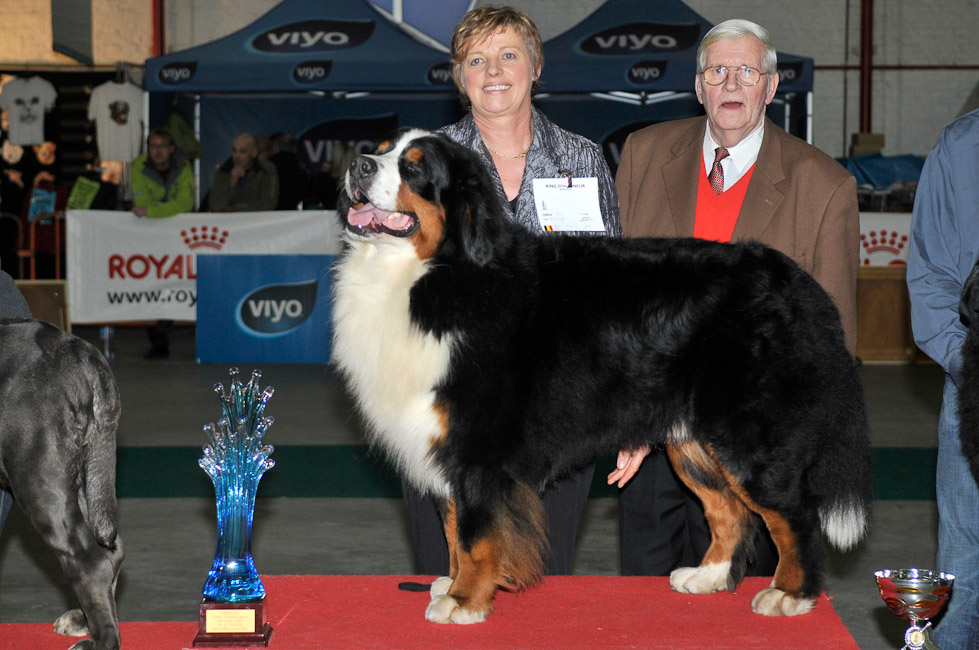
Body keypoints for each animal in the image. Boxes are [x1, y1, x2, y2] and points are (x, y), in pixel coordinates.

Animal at [0, 318, 124, 648]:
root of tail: (76, 348)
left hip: (41, 483)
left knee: (89, 561)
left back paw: (102, 641)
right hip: (79, 478)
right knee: (111, 552)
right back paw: (84, 620)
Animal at [332, 128, 872, 624]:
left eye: (416, 168)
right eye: (381, 149)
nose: (358, 165)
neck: (440, 271)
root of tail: (800, 284)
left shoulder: (478, 446)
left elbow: (475, 531)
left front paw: (464, 600)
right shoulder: (444, 440)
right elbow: (452, 526)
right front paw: (452, 581)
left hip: (749, 436)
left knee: (793, 515)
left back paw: (789, 595)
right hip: (693, 441)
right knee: (729, 511)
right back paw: (708, 576)